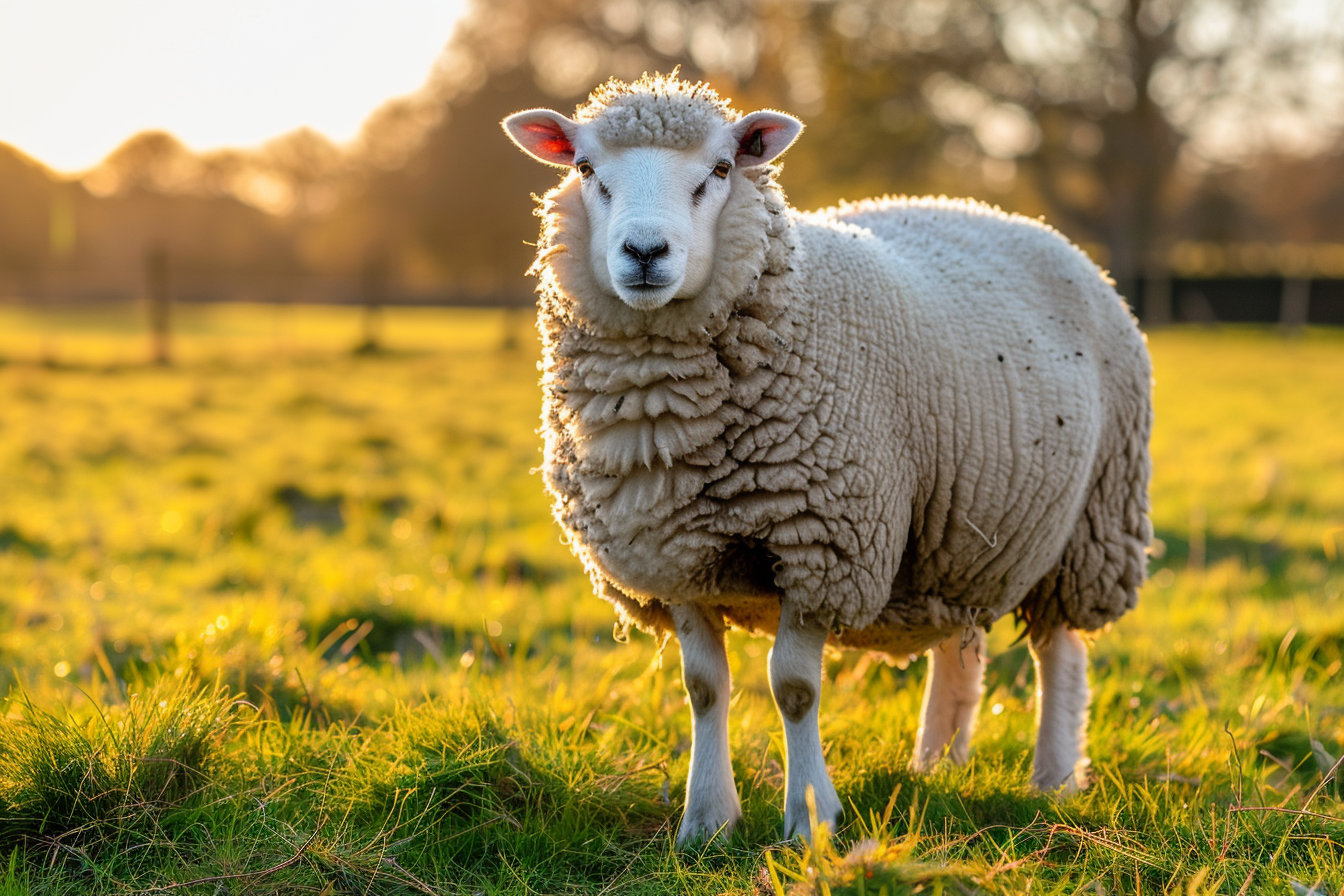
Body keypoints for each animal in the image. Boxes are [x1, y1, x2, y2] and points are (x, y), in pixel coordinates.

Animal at [502, 74, 1152, 846]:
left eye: (720, 170)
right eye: (585, 169)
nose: (645, 251)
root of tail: (1013, 217)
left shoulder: (823, 546)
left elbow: (794, 687)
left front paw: (811, 819)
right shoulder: (673, 554)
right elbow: (703, 688)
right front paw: (707, 822)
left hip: (1087, 527)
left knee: (1059, 651)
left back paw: (1052, 779)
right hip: (957, 530)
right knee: (959, 649)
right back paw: (936, 766)